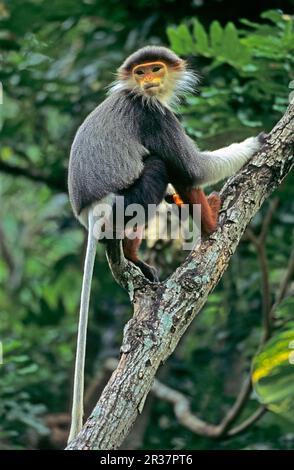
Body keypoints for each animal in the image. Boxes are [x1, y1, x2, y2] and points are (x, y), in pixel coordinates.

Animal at [68, 45, 266, 440]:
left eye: (155, 69)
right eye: (140, 72)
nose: (149, 80)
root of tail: (91, 212)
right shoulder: (153, 114)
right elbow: (193, 169)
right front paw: (254, 143)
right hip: (125, 203)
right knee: (163, 163)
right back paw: (206, 224)